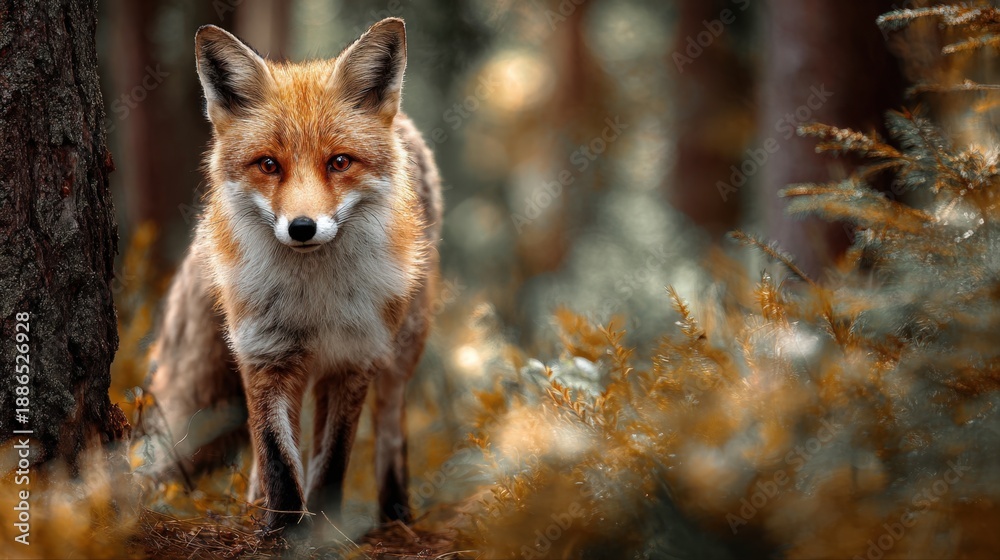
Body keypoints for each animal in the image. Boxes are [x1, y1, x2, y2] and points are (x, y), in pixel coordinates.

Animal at [139, 18, 442, 533]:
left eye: (339, 162)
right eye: (269, 165)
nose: (302, 228)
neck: (312, 300)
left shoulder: (354, 360)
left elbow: (333, 457)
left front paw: (321, 530)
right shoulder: (264, 353)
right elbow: (278, 456)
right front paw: (281, 530)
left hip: (401, 347)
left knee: (390, 424)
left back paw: (395, 512)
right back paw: (254, 503)